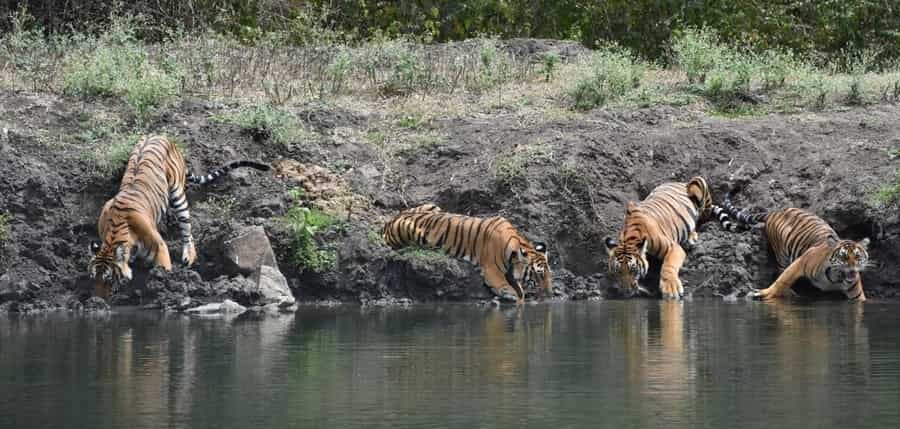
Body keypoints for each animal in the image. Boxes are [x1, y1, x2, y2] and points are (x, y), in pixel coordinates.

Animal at [88, 135, 270, 300]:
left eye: (109, 279)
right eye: (93, 278)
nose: (97, 299)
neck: (116, 231)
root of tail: (162, 136)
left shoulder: (159, 246)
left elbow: (164, 268)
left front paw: (164, 285)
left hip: (178, 195)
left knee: (188, 232)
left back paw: (189, 257)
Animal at [382, 204, 551, 304]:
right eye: (540, 274)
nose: (550, 293)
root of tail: (393, 218)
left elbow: (519, 288)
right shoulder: (491, 269)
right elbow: (502, 283)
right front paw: (509, 293)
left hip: (432, 206)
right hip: (407, 230)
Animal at [605, 176, 737, 299]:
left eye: (633, 269)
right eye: (618, 271)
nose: (626, 291)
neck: (631, 237)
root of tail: (678, 182)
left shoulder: (673, 247)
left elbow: (668, 266)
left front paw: (671, 287)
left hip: (698, 184)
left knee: (701, 219)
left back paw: (691, 237)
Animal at [722, 189, 870, 301]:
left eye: (857, 256)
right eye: (843, 257)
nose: (852, 269)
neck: (836, 278)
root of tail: (774, 212)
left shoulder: (856, 295)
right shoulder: (801, 262)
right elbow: (781, 281)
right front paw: (765, 293)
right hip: (782, 254)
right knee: (781, 271)